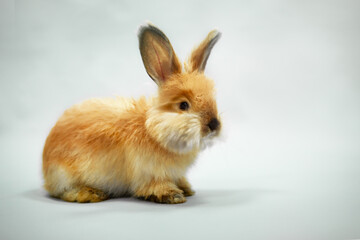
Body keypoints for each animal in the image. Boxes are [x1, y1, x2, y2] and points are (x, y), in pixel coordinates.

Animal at [43, 22, 222, 203]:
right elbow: (155, 185)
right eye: (183, 105)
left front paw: (186, 189)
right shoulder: (149, 173)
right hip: (66, 175)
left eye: (213, 100)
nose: (214, 124)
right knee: (64, 192)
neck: (153, 131)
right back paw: (91, 193)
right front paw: (173, 195)